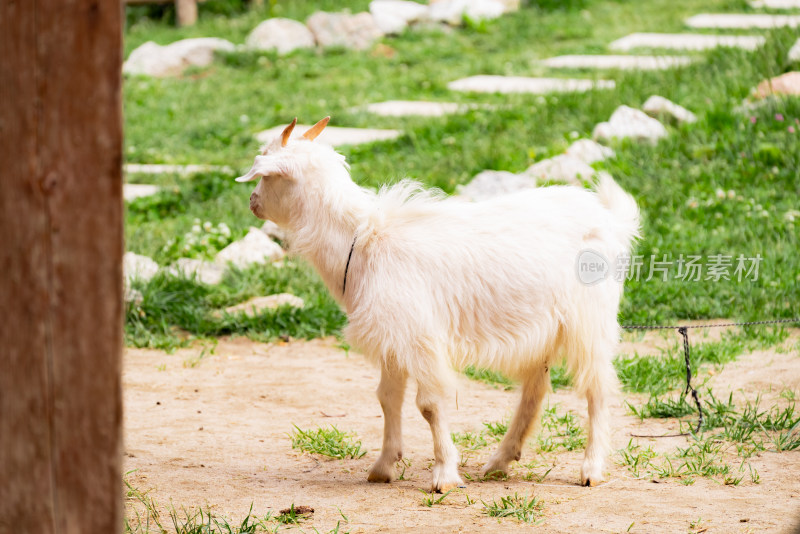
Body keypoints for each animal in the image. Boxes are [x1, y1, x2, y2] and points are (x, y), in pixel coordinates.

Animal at [236, 118, 636, 494]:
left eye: (265, 174)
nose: (252, 202)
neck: (363, 240)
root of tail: (610, 220)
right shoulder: (393, 338)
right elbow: (387, 399)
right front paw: (383, 466)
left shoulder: (419, 337)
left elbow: (429, 404)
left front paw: (444, 475)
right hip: (543, 328)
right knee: (535, 389)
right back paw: (501, 460)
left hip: (590, 320)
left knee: (597, 387)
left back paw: (591, 468)